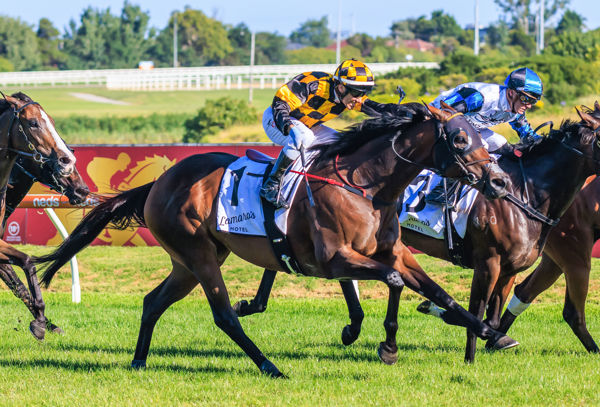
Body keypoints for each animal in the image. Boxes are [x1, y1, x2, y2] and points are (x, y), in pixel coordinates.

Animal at [0, 93, 82, 342]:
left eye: (53, 122)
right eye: (33, 123)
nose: (68, 161)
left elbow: (22, 272)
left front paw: (44, 322)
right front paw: (42, 321)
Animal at [32, 103, 512, 378]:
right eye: (460, 138)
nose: (500, 181)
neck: (365, 185)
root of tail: (159, 182)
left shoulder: (391, 250)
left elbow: (436, 291)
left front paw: (490, 332)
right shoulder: (333, 259)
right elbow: (393, 281)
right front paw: (387, 345)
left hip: (187, 261)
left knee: (153, 302)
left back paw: (138, 360)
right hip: (200, 255)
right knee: (225, 316)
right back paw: (269, 366)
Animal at [236, 102, 600, 364]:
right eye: (459, 139)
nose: (497, 183)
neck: (525, 193)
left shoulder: (511, 268)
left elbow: (494, 313)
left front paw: (493, 338)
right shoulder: (489, 262)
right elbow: (477, 307)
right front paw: (470, 356)